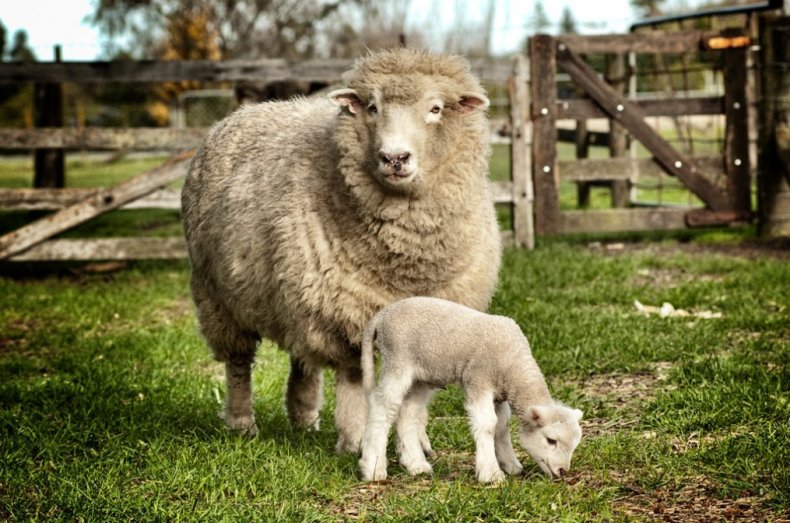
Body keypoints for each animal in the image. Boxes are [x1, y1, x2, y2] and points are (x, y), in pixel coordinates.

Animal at [183, 47, 502, 452]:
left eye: (435, 108)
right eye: (372, 107)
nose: (394, 158)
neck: (405, 260)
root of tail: (243, 113)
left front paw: (418, 440)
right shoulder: (344, 313)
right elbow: (351, 378)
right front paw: (355, 439)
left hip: (294, 293)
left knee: (301, 356)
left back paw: (304, 418)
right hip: (219, 296)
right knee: (238, 362)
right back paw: (242, 423)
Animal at [362, 296, 584, 486]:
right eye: (551, 440)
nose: (563, 471)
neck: (513, 364)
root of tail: (382, 315)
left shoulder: (499, 395)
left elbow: (501, 425)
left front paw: (511, 465)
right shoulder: (478, 380)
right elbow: (487, 424)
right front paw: (491, 474)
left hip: (420, 377)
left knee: (407, 414)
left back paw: (416, 465)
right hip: (398, 360)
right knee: (382, 408)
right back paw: (373, 468)